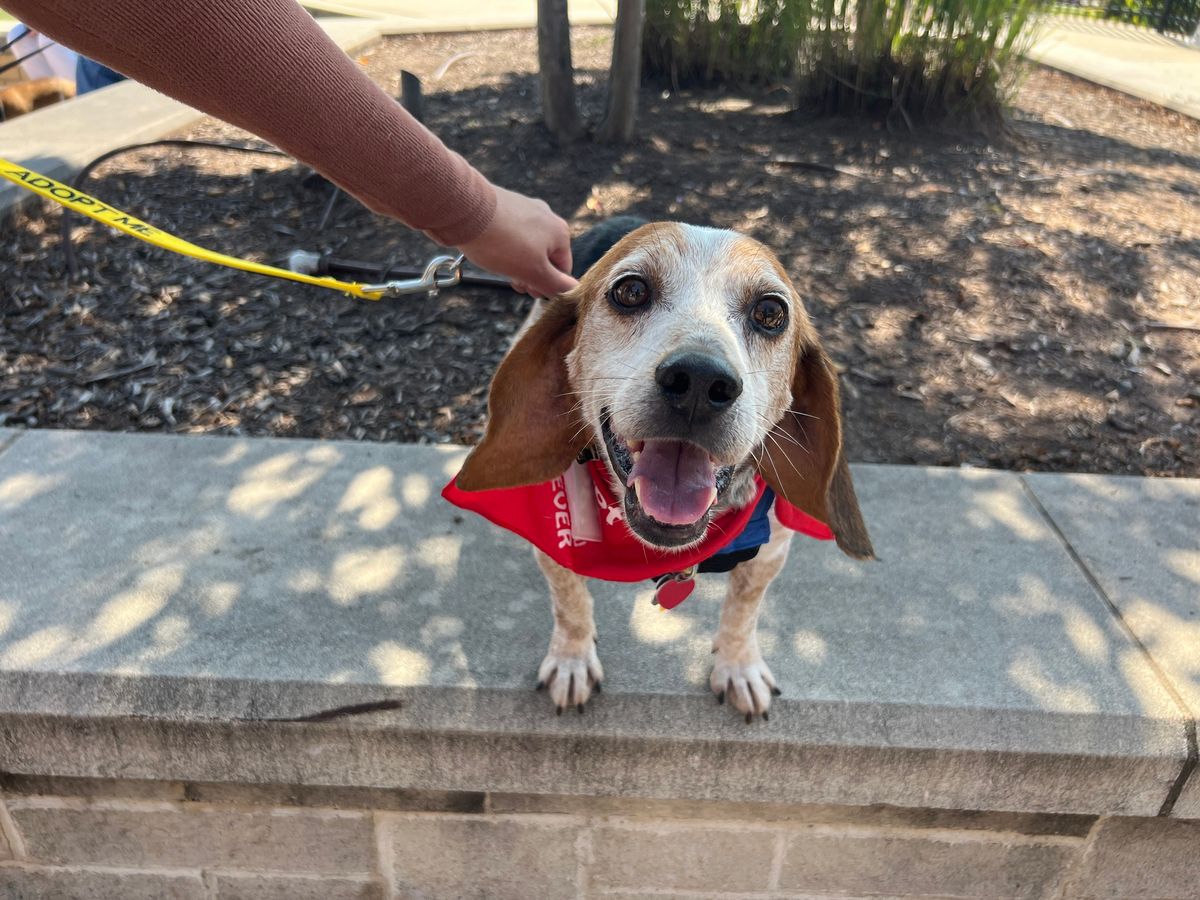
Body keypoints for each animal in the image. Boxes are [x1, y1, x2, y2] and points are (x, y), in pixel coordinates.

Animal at [446, 218, 878, 724]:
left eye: (771, 312)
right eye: (630, 290)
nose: (699, 381)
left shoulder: (770, 552)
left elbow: (743, 613)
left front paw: (739, 667)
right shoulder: (556, 551)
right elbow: (570, 604)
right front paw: (572, 659)